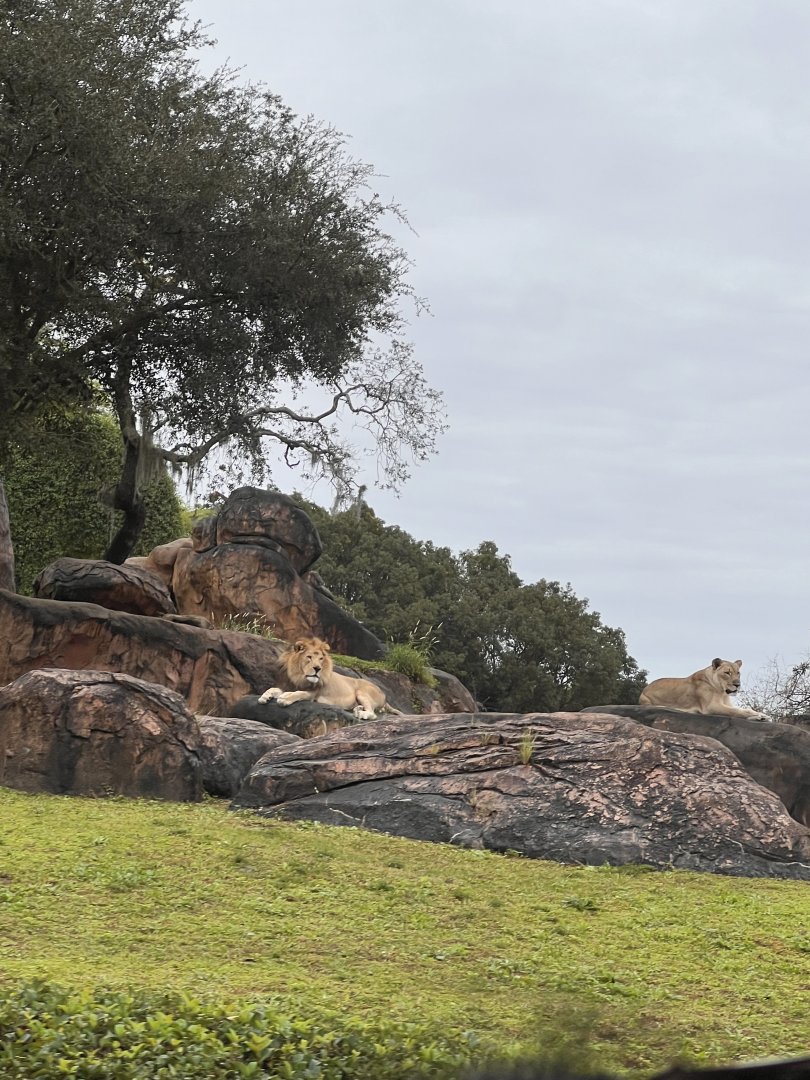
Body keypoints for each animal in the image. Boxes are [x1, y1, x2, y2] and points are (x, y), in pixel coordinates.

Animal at [258, 637, 400, 720]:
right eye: (309, 657)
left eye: (321, 659)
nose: (317, 668)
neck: (299, 676)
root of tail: (384, 695)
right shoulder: (287, 685)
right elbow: (272, 689)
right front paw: (264, 697)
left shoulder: (313, 694)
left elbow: (299, 693)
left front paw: (284, 698)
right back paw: (357, 709)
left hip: (362, 691)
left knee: (373, 714)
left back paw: (361, 713)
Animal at [639, 658, 770, 720]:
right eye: (727, 672)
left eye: (738, 673)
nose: (737, 684)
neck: (722, 692)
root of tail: (644, 689)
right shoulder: (711, 707)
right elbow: (736, 711)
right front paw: (757, 715)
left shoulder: (726, 704)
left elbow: (740, 709)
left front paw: (762, 715)